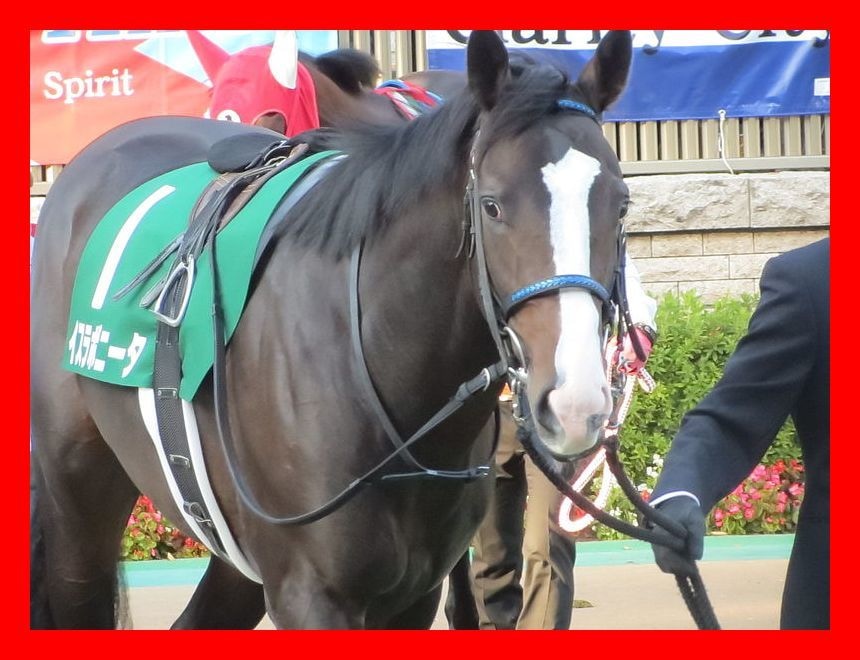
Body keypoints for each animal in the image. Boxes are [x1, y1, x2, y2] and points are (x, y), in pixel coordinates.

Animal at [30, 29, 633, 629]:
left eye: (622, 205)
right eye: (492, 206)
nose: (575, 403)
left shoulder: (411, 595)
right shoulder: (310, 592)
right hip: (78, 493)